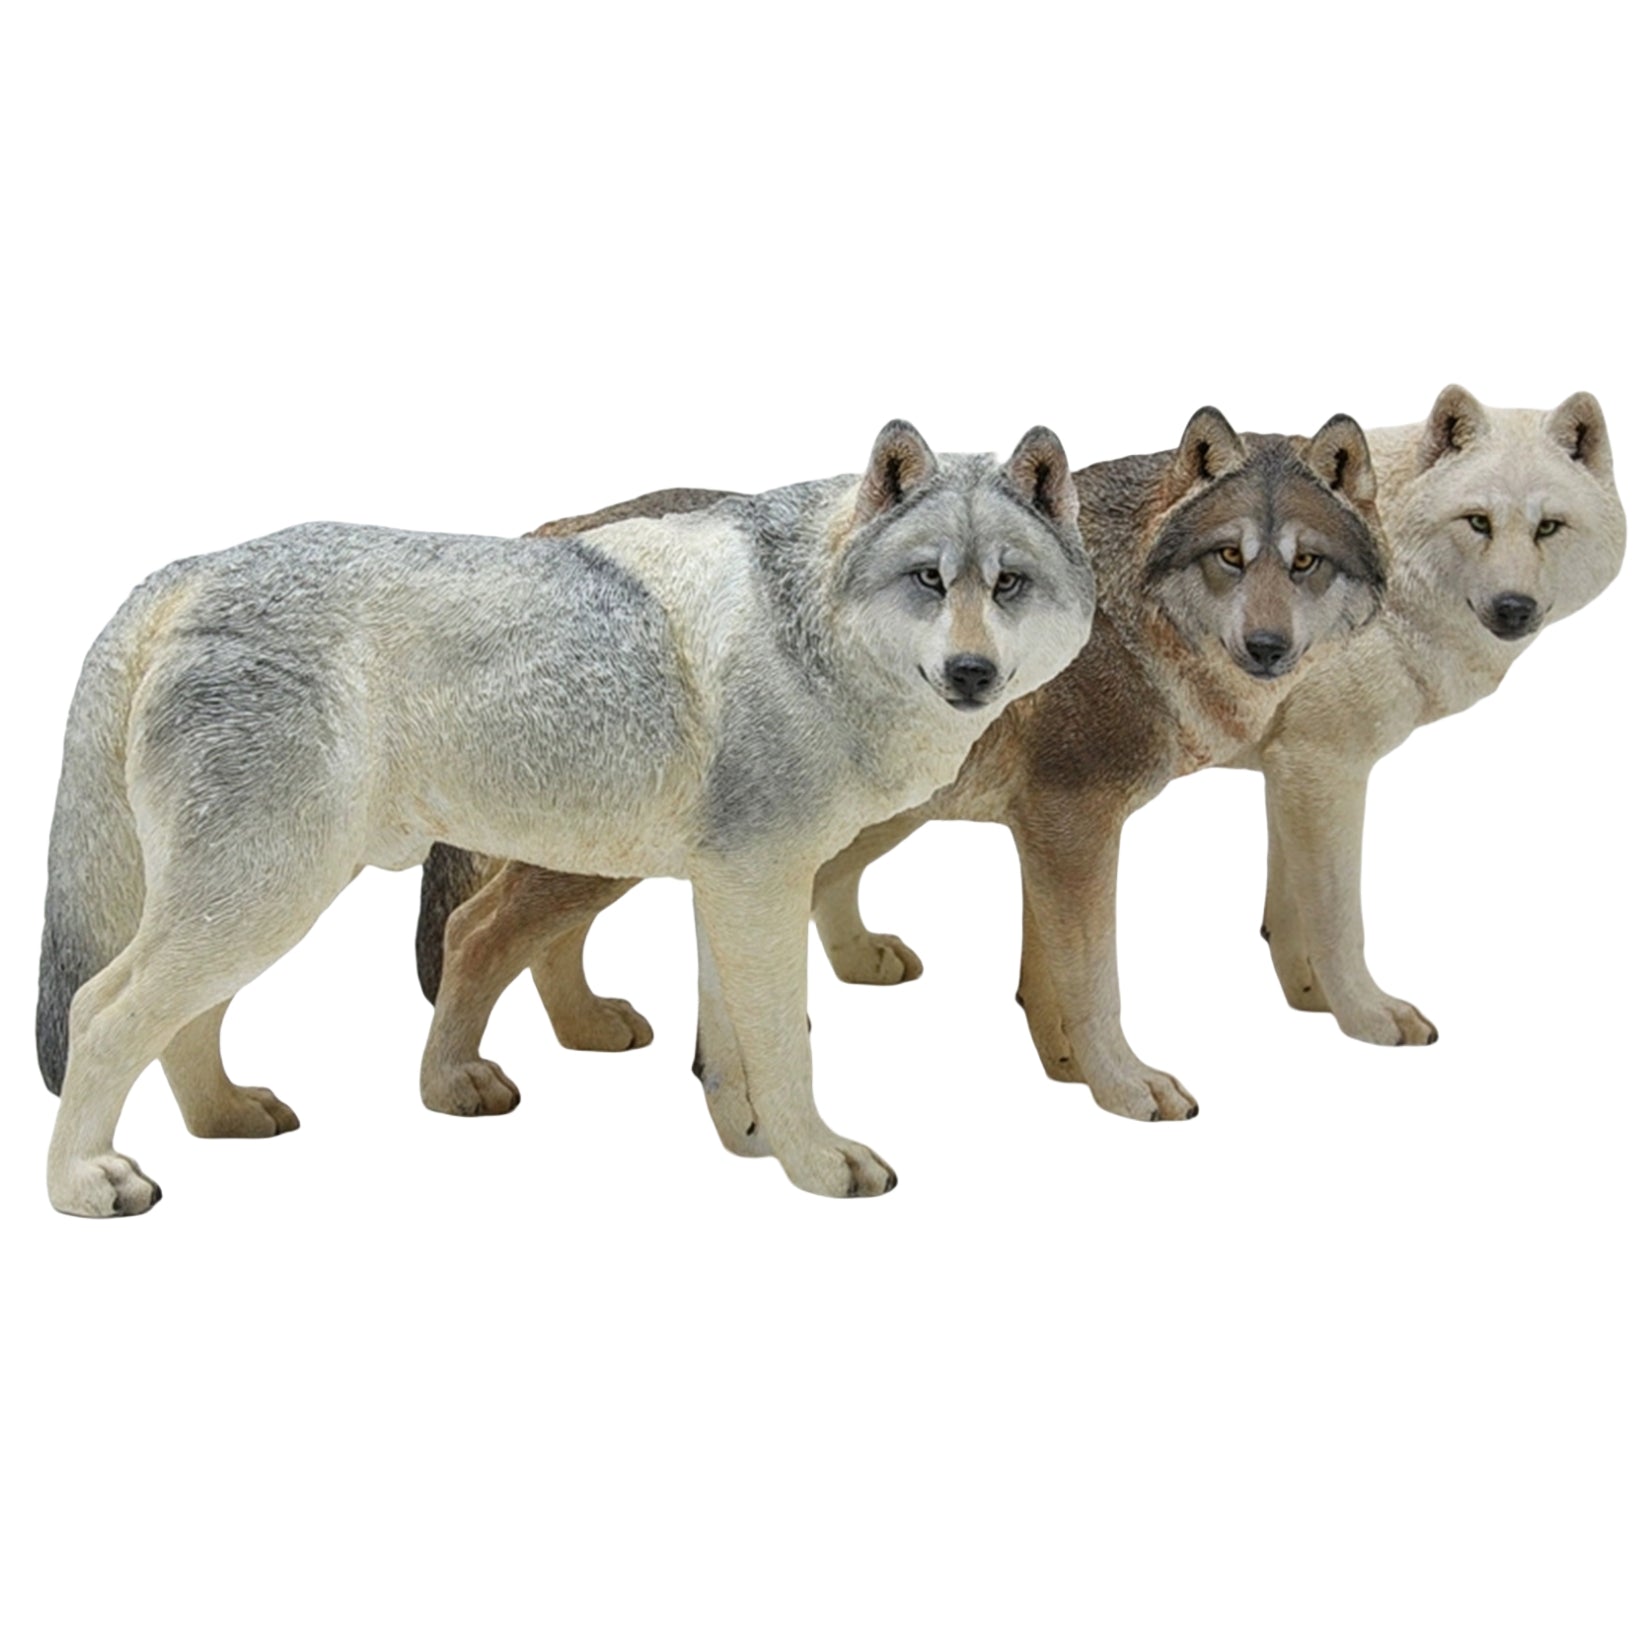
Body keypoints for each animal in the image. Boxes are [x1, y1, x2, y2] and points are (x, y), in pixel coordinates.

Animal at [35, 421, 1097, 1215]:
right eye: (929, 580)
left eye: (1007, 583)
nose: (972, 673)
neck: (814, 634)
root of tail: (187, 569)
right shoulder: (762, 885)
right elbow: (785, 1046)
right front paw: (818, 1163)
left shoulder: (732, 886)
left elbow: (733, 1052)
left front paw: (752, 1146)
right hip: (266, 897)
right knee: (102, 1009)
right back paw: (84, 1184)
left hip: (259, 902)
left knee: (177, 1020)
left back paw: (226, 1118)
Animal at [415, 408, 1387, 1128]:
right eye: (1230, 556)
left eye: (1305, 563)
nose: (1268, 649)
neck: (1123, 614)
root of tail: (548, 529)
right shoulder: (1076, 821)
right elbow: (1094, 982)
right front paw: (1124, 1088)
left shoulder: (1048, 830)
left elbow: (1046, 981)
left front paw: (1068, 1074)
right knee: (474, 933)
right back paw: (456, 1082)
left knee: (538, 940)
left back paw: (588, 1029)